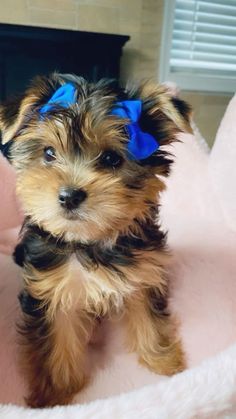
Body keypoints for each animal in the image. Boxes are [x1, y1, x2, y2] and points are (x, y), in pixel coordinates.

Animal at [0, 74, 192, 408]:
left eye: (112, 158)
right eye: (48, 153)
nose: (69, 195)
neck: (90, 241)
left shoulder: (143, 273)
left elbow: (149, 316)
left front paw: (164, 363)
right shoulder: (52, 290)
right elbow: (57, 340)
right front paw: (55, 395)